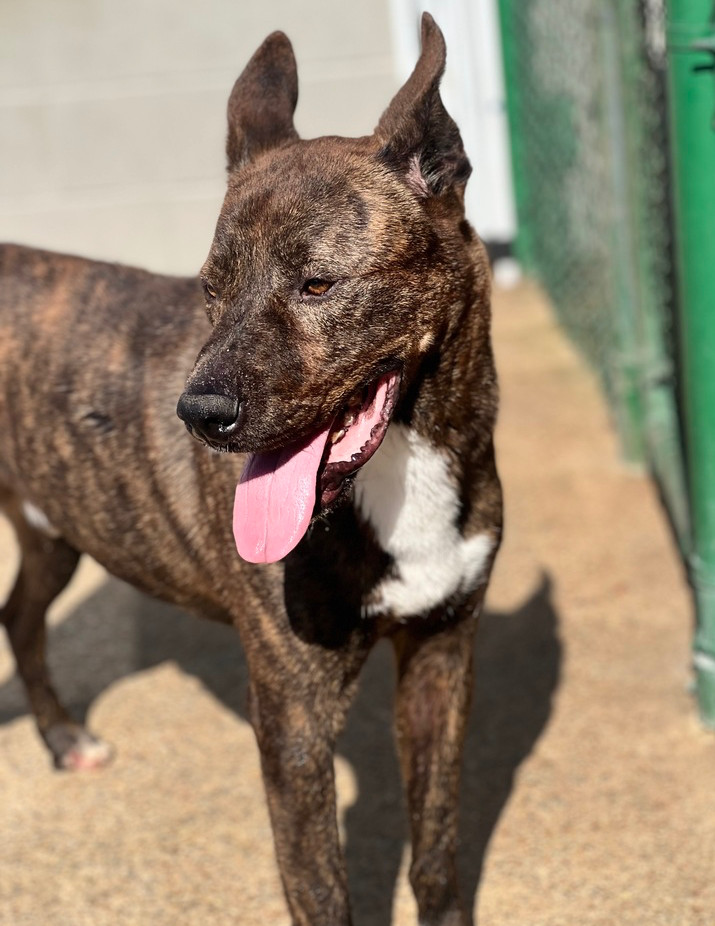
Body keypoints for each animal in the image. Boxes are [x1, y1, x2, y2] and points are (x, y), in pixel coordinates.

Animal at [0, 16, 504, 926]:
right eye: (210, 288)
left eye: (317, 284)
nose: (197, 416)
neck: (401, 469)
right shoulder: (293, 719)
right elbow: (321, 890)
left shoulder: (443, 657)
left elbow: (437, 856)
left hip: (56, 527)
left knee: (18, 615)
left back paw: (63, 741)